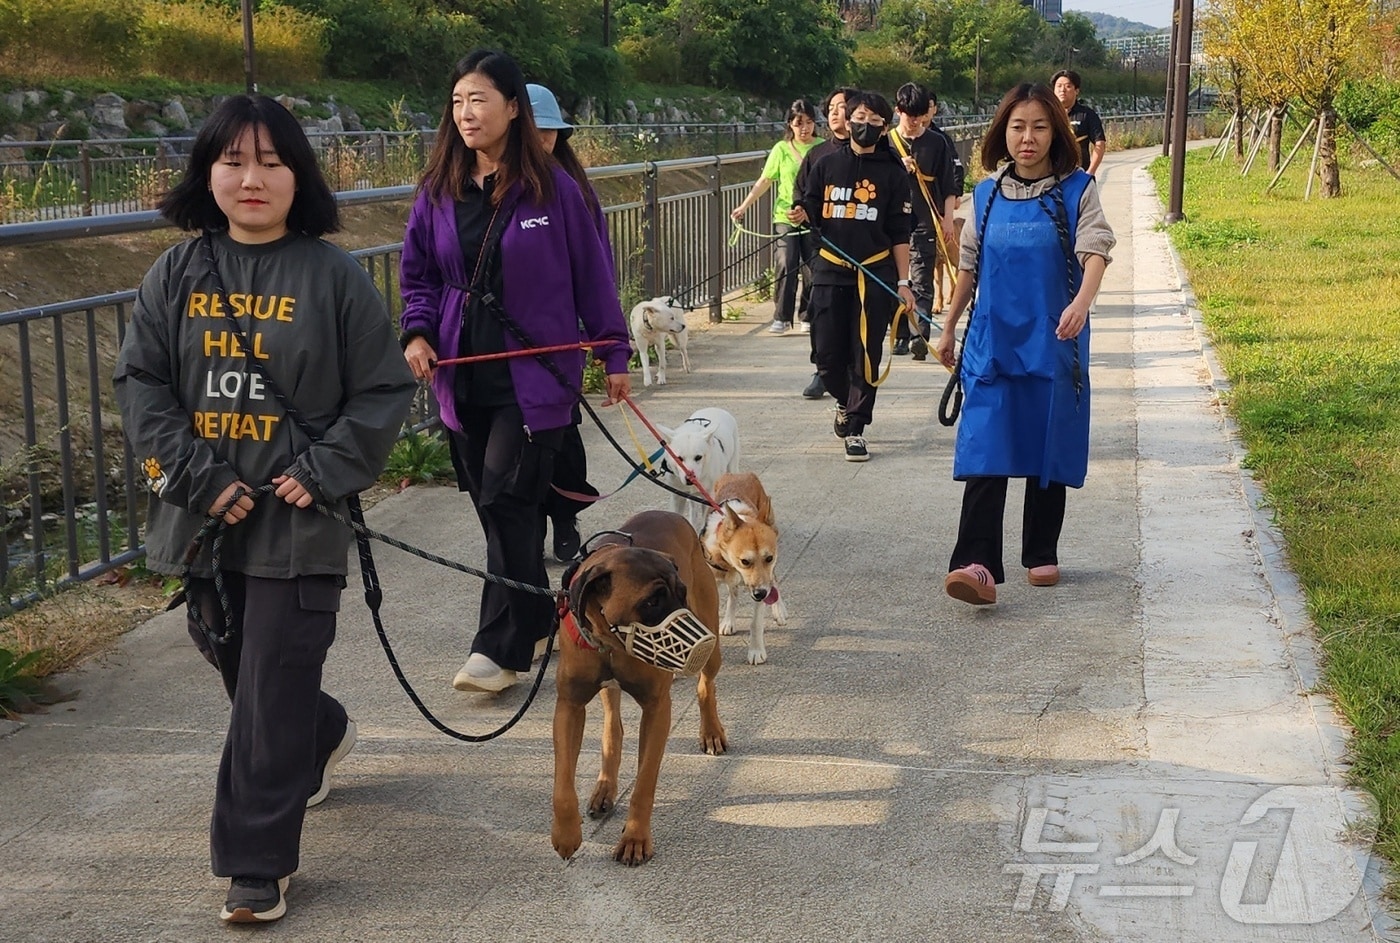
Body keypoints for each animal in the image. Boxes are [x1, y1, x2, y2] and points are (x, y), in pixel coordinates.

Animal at [548, 509, 728, 861]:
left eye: (681, 592)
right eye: (651, 602)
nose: (699, 641)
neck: (609, 644)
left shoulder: (657, 708)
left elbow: (644, 783)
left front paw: (635, 838)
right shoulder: (569, 706)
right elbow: (563, 781)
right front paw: (565, 833)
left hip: (711, 644)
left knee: (706, 686)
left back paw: (712, 732)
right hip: (609, 690)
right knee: (613, 728)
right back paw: (605, 787)